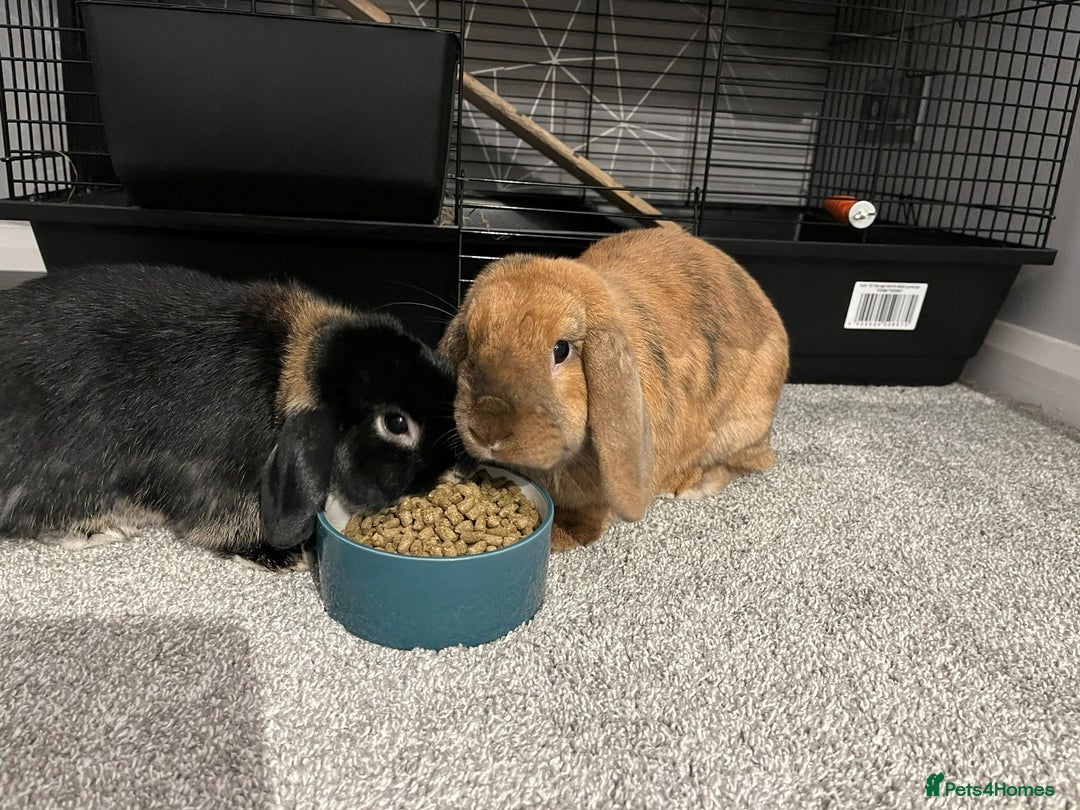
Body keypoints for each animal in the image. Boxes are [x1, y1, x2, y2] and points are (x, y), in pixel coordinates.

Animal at [438, 227, 789, 550]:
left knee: (738, 464)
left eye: (561, 350)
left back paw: (691, 484)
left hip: (739, 426)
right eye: (471, 342)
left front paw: (563, 535)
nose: (487, 431)